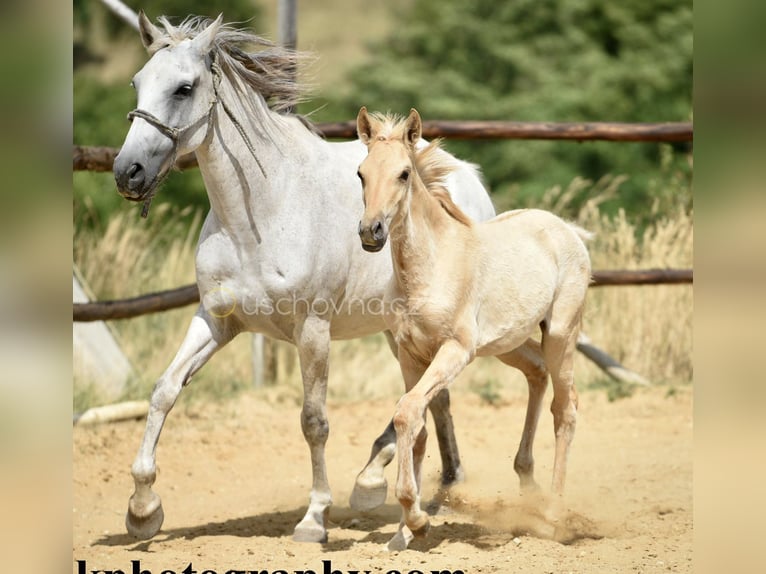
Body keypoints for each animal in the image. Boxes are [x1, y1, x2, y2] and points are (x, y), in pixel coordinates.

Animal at [356, 108, 592, 552]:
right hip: (508, 342)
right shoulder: (410, 354)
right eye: (361, 173)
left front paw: (416, 520)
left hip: (560, 333)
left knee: (565, 409)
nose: (370, 231)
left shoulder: (455, 350)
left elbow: (407, 413)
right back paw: (527, 483)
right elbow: (415, 426)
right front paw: (404, 531)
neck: (431, 267)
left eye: (403, 174)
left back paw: (554, 516)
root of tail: (567, 229)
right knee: (537, 373)